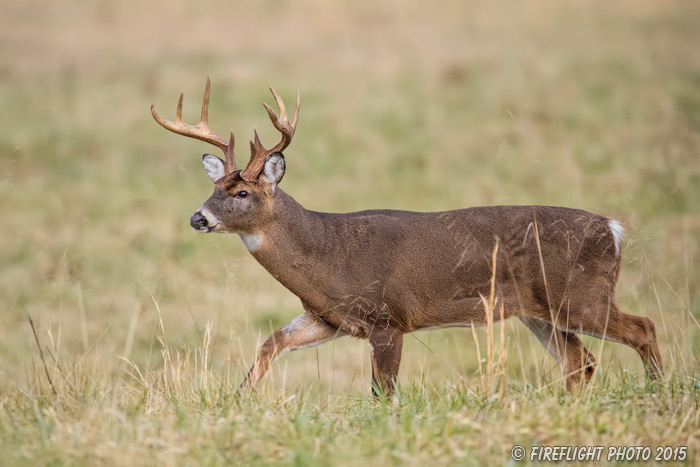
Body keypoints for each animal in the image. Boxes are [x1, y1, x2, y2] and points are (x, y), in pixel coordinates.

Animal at [152, 78, 660, 396]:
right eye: (213, 188)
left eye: (241, 192)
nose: (198, 218)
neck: (327, 253)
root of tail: (613, 230)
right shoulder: (328, 318)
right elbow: (268, 344)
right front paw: (239, 402)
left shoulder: (388, 317)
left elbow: (383, 392)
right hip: (541, 311)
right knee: (581, 362)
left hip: (580, 295)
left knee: (643, 327)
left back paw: (658, 390)